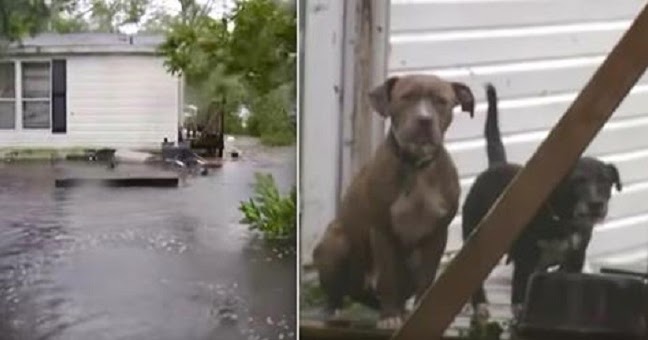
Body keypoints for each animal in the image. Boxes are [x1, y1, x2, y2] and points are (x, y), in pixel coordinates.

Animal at [312, 75, 474, 330]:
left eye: (441, 101)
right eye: (406, 97)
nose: (424, 119)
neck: (417, 166)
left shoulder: (438, 234)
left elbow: (428, 278)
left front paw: (421, 311)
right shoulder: (382, 231)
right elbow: (388, 277)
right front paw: (389, 317)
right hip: (336, 242)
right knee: (340, 292)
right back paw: (337, 311)